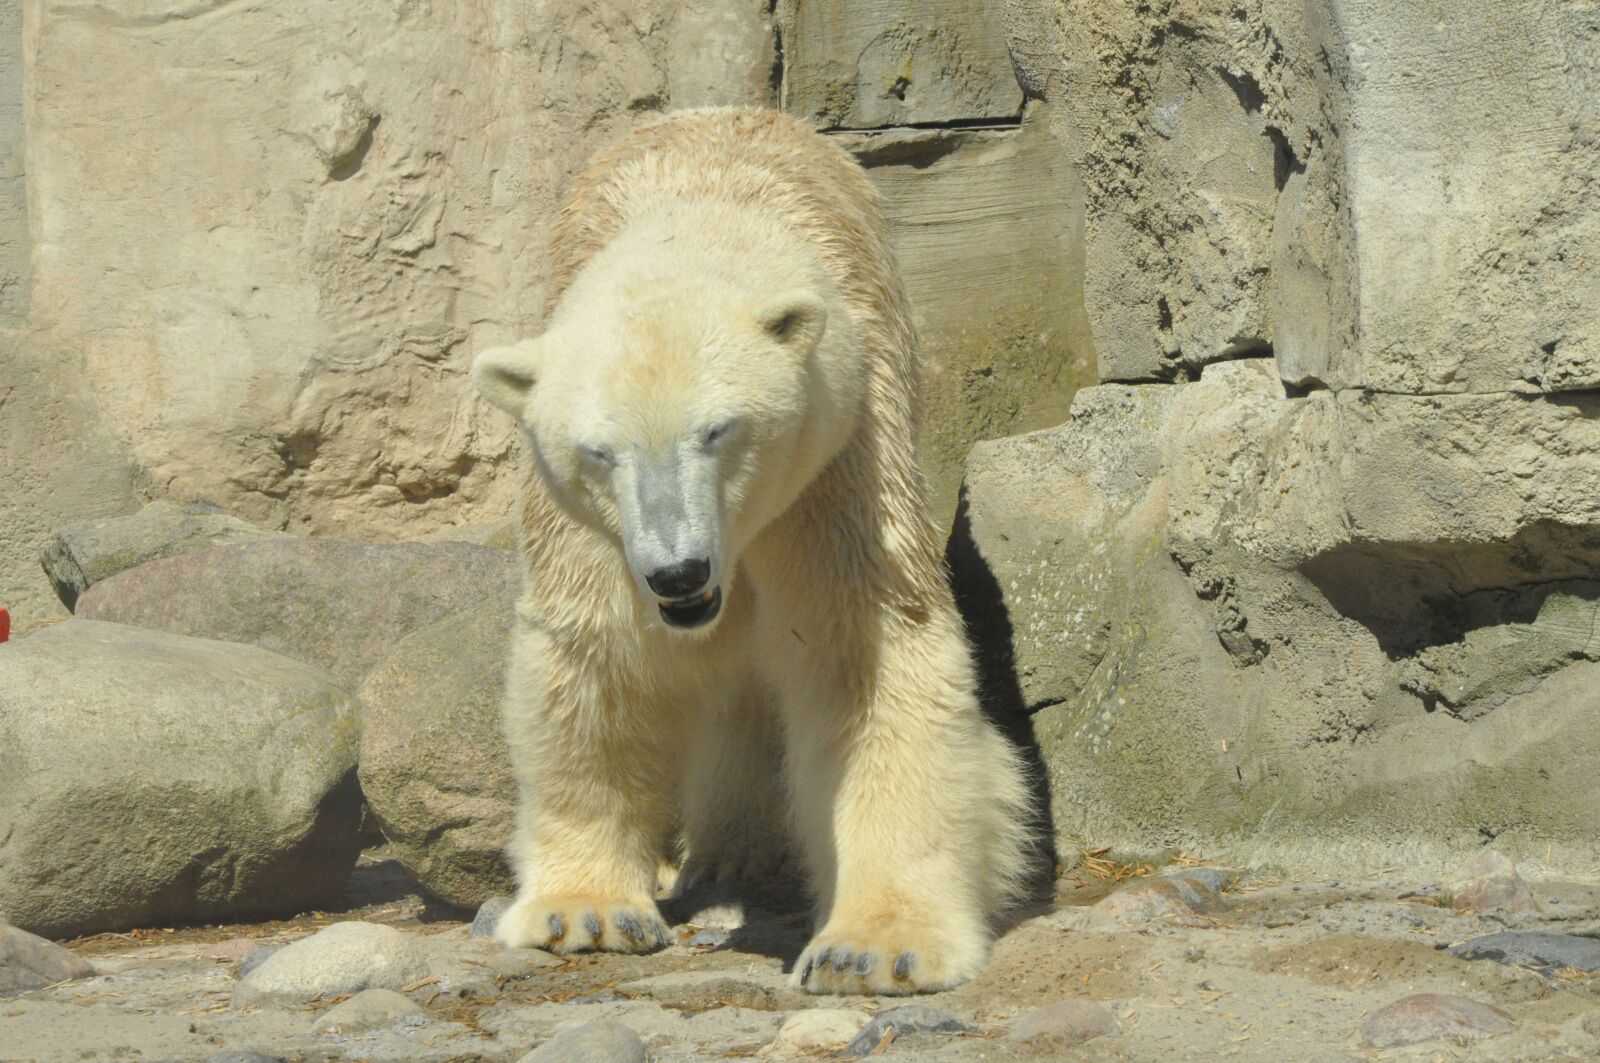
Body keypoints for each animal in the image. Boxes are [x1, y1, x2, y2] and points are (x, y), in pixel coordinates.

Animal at [471, 107, 1031, 994]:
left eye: (719, 430)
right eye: (599, 451)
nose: (678, 573)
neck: (705, 202)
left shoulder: (838, 457)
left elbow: (859, 650)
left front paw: (872, 946)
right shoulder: (592, 529)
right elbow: (599, 652)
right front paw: (583, 909)